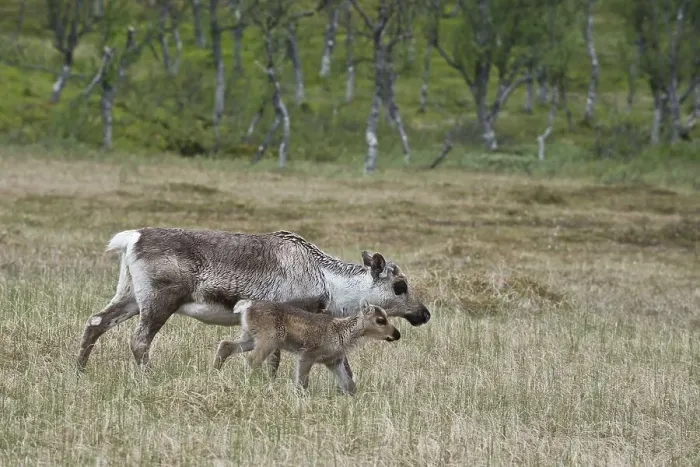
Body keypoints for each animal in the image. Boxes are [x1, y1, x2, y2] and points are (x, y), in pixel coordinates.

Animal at [76, 227, 431, 384]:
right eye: (400, 286)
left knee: (95, 321)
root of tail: (130, 239)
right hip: (159, 300)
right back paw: (152, 378)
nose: (424, 314)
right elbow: (275, 359)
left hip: (130, 296)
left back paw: (79, 371)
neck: (330, 284)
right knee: (139, 340)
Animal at [213, 299, 401, 395]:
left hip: (250, 337)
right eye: (380, 320)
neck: (341, 333)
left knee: (226, 344)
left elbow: (349, 385)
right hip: (269, 339)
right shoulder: (307, 355)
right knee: (253, 359)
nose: (397, 334)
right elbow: (302, 382)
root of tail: (247, 306)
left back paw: (215, 371)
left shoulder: (333, 361)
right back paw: (254, 383)